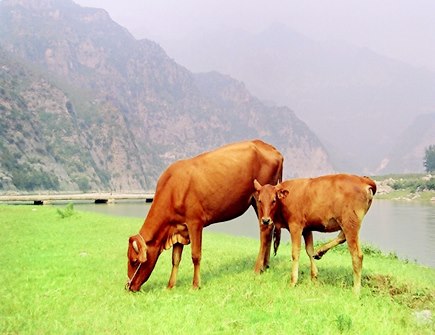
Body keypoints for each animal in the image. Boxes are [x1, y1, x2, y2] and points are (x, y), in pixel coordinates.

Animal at [126, 139, 284, 292]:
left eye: (134, 261)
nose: (128, 287)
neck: (173, 190)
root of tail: (272, 149)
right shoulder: (179, 228)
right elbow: (175, 259)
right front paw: (170, 286)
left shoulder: (195, 222)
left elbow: (196, 255)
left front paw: (195, 285)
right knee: (269, 231)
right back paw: (265, 266)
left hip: (260, 200)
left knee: (264, 232)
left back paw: (257, 269)